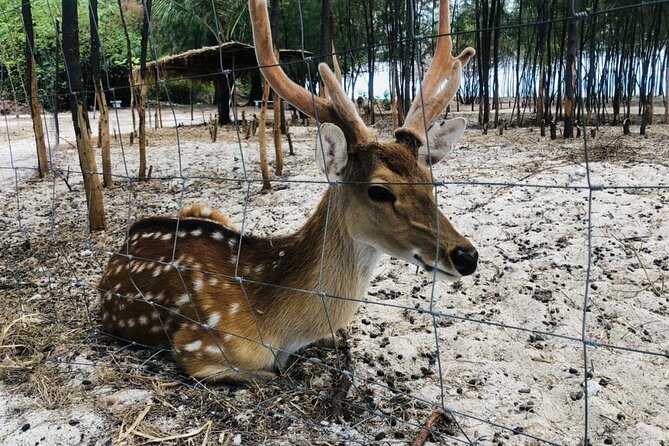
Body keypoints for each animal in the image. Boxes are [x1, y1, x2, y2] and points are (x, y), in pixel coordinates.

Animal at [98, 0, 474, 386]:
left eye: (431, 181)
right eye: (379, 190)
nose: (467, 256)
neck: (278, 327)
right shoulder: (198, 345)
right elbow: (272, 374)